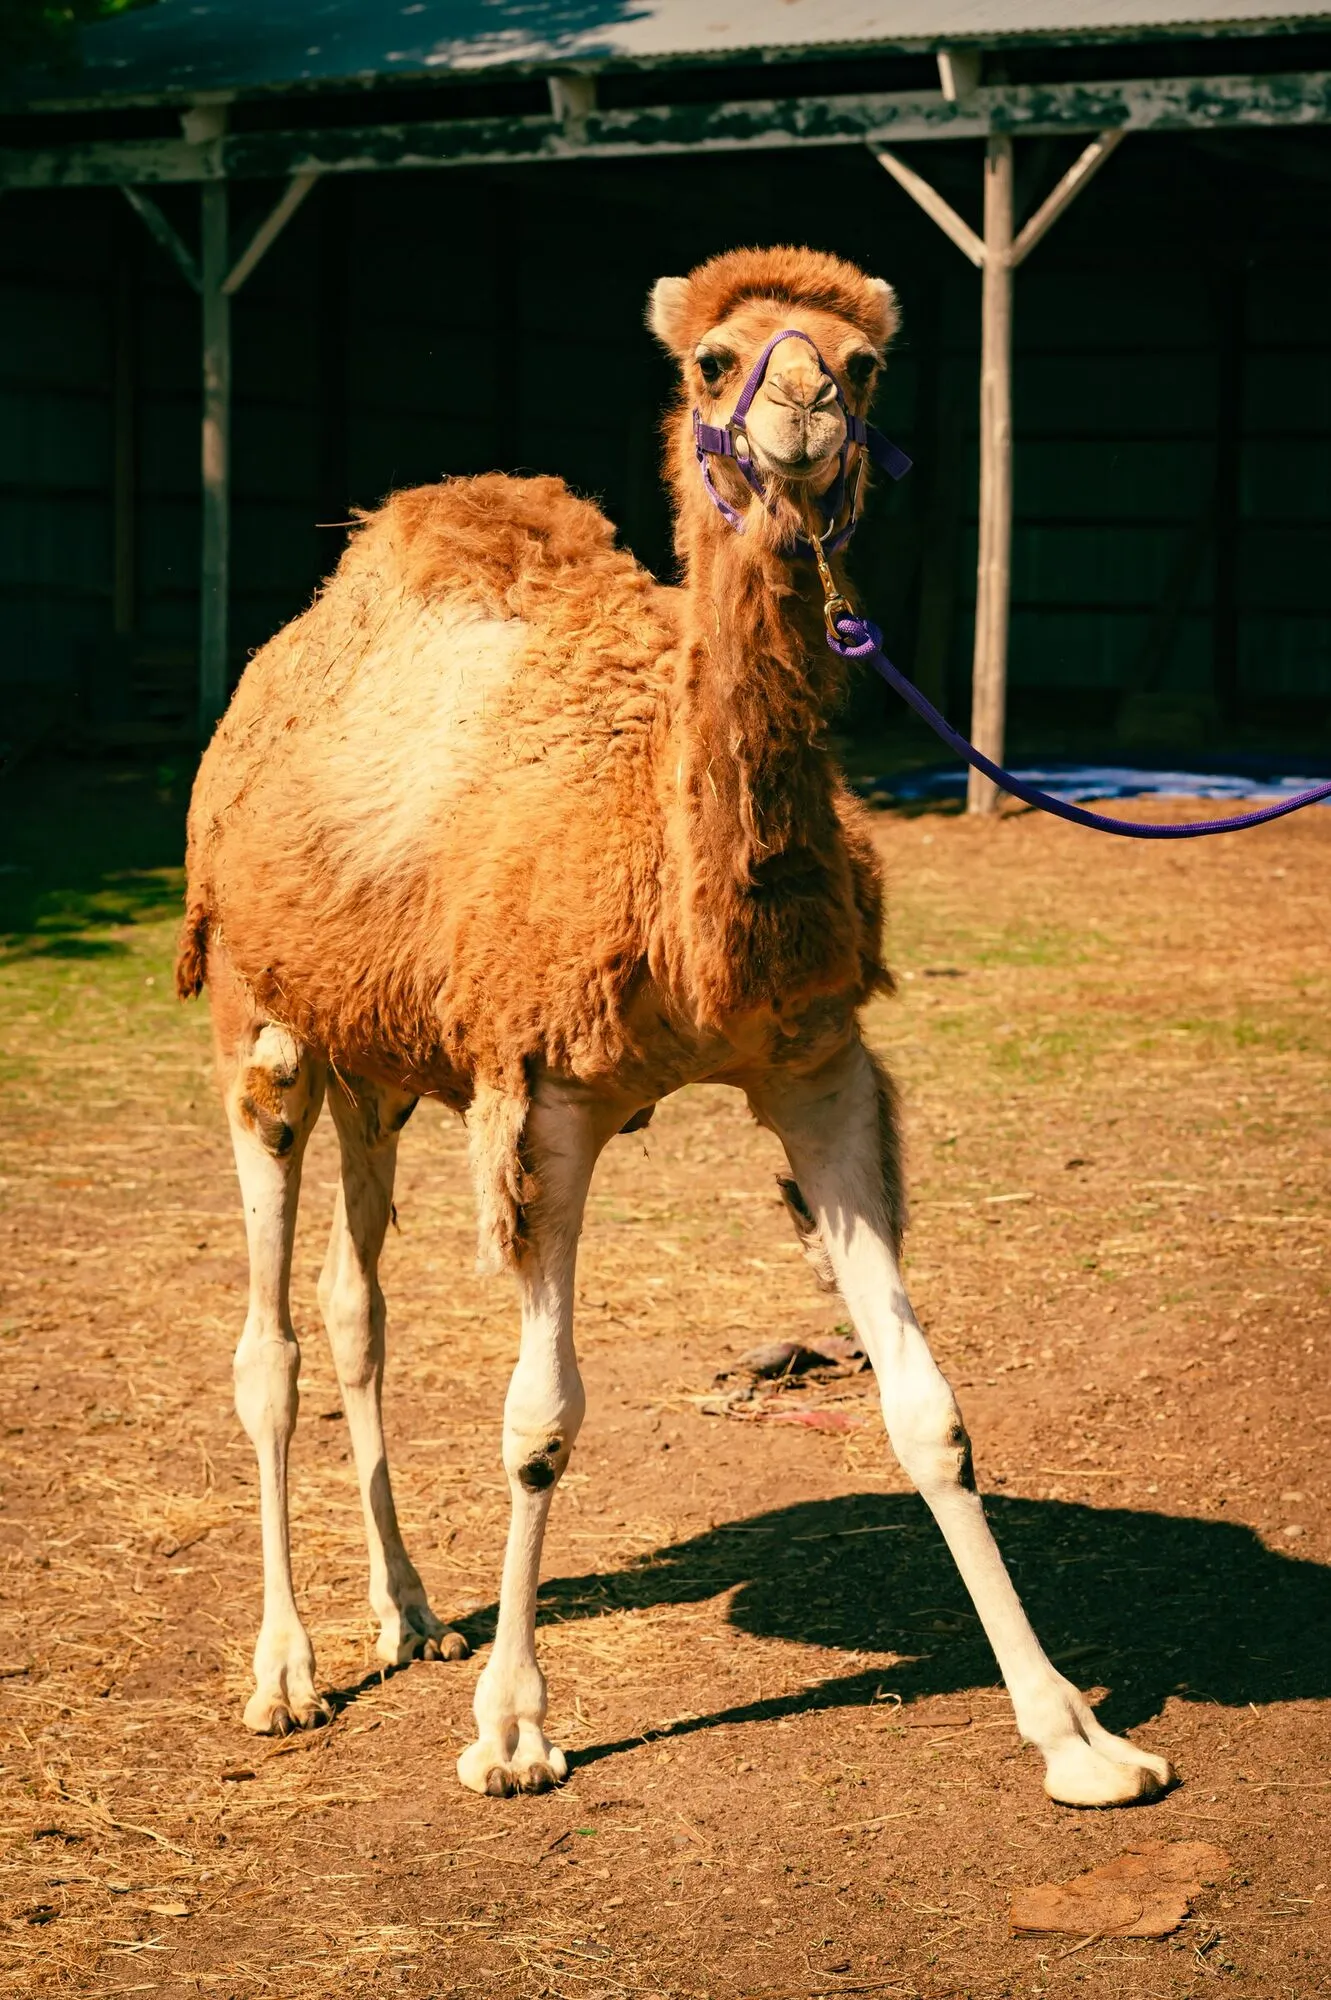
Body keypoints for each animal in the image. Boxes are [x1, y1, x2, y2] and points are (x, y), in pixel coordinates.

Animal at [177, 245, 1174, 1808]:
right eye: (714, 358)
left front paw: (1074, 1734)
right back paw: (287, 1675)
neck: (673, 877)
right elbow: (540, 1421)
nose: (802, 406)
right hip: (259, 1017)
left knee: (354, 1307)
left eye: (861, 361)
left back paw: (408, 1611)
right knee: (265, 1344)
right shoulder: (546, 1091)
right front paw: (512, 1732)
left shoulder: (814, 1068)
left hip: (379, 1056)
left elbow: (928, 1408)